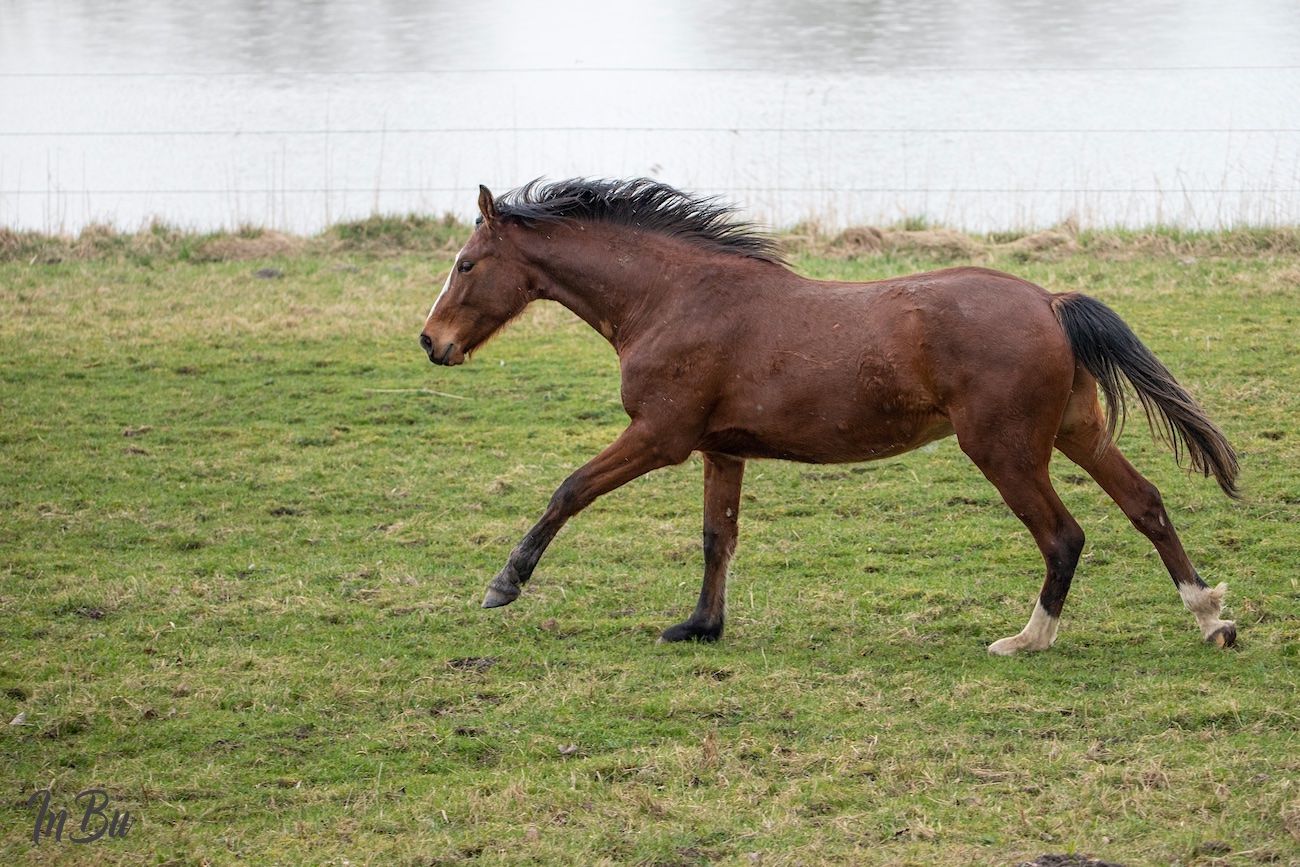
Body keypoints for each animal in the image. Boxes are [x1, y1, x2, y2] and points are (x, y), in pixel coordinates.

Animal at [418, 179, 1237, 655]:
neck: (672, 299)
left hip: (1005, 450)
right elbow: (718, 537)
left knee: (1065, 536)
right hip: (1075, 431)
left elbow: (570, 490)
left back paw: (1028, 639)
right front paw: (701, 628)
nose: (431, 343)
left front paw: (504, 584)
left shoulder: (660, 436)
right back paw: (1211, 617)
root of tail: (1049, 301)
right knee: (1147, 505)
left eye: (465, 264)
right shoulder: (721, 448)